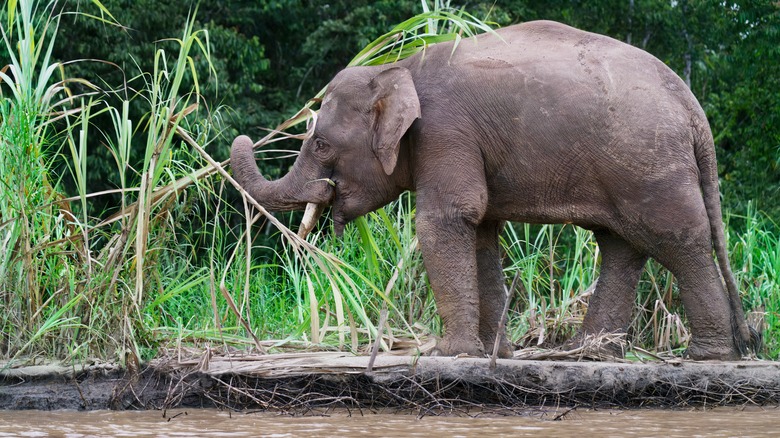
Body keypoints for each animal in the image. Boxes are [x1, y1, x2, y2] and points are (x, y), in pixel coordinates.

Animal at [231, 20, 759, 360]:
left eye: (320, 143)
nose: (245, 139)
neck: (401, 68)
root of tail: (692, 105)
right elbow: (481, 229)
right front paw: (493, 353)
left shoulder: (446, 130)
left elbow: (447, 217)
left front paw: (448, 353)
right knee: (621, 245)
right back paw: (586, 353)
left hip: (650, 162)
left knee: (676, 238)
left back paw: (709, 356)